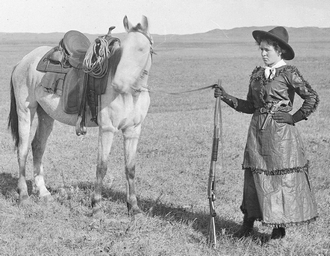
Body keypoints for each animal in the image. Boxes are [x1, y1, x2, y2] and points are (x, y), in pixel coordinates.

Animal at [7, 16, 155, 215]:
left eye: (141, 49)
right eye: (122, 49)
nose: (117, 84)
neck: (131, 94)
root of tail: (24, 61)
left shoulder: (133, 131)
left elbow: (130, 168)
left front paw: (134, 207)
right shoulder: (107, 129)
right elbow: (102, 166)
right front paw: (96, 205)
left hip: (45, 114)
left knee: (37, 147)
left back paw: (44, 192)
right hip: (25, 111)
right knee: (22, 150)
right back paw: (23, 196)